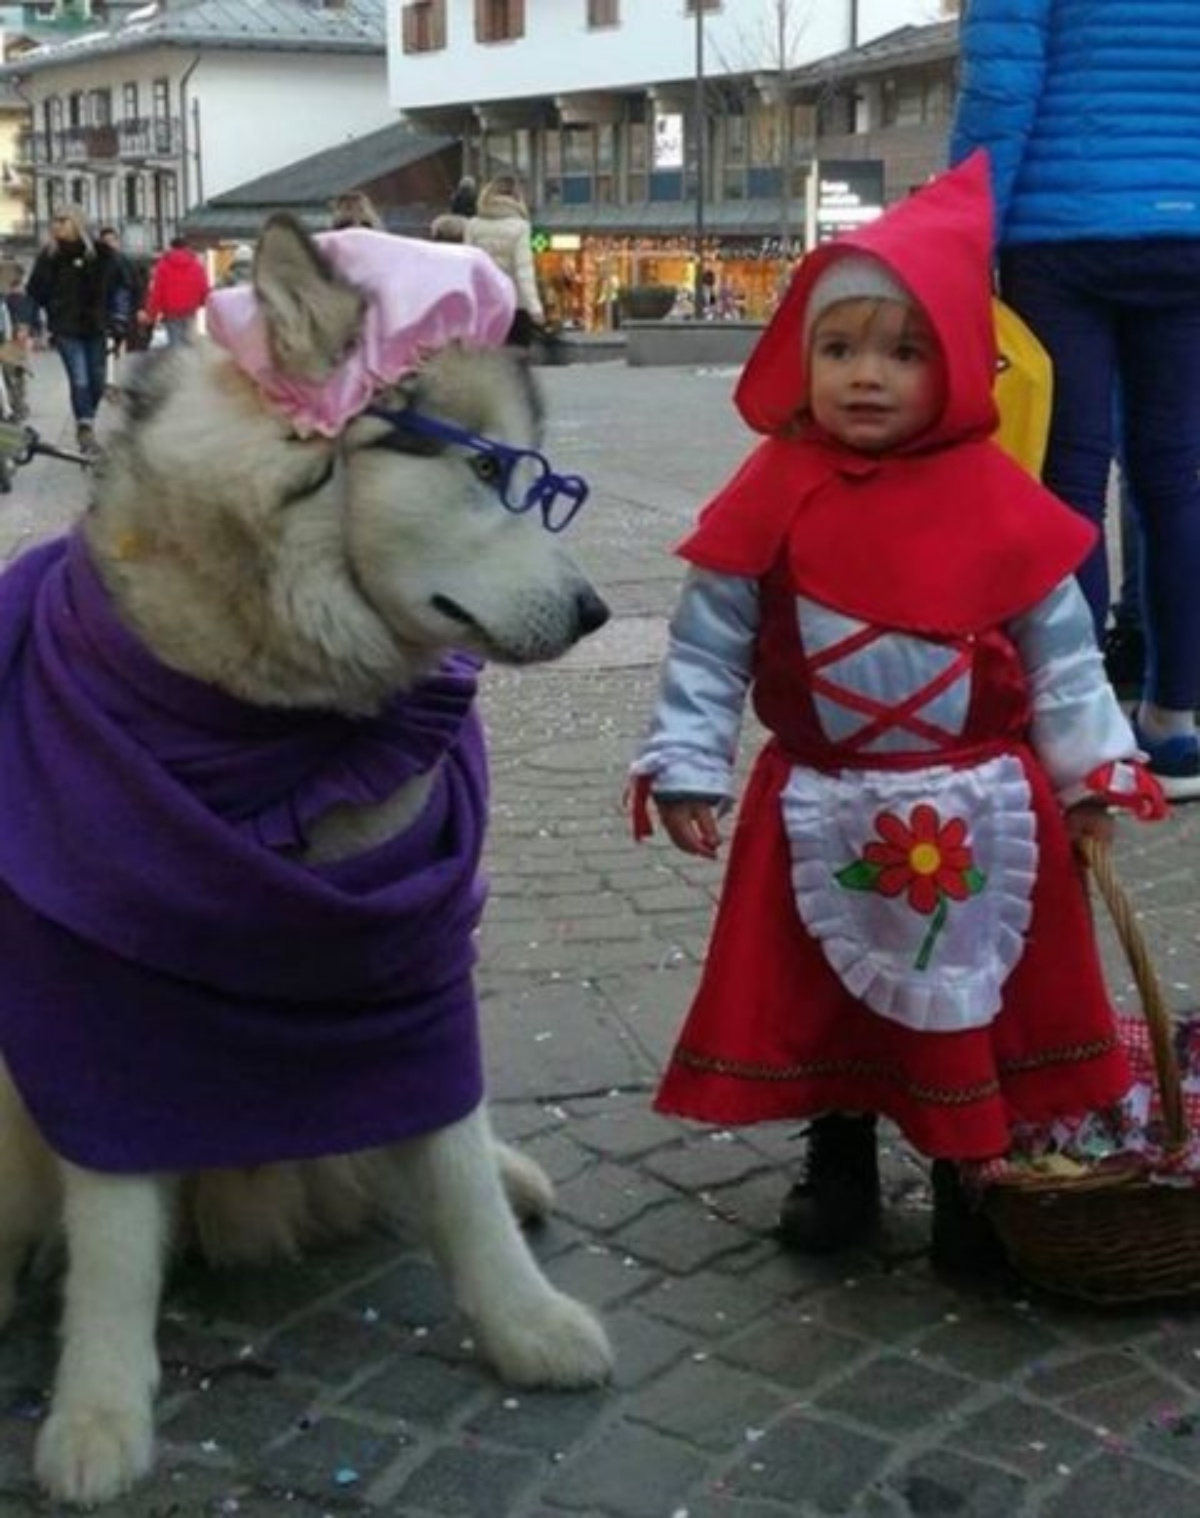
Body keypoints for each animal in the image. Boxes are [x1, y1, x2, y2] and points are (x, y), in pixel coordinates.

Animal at [0, 214, 615, 1505]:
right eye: (488, 472)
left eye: (544, 481)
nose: (595, 613)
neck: (271, 716)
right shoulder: (98, 988)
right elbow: (113, 1227)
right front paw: (96, 1414)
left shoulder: (412, 950)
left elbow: (451, 1152)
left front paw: (523, 1321)